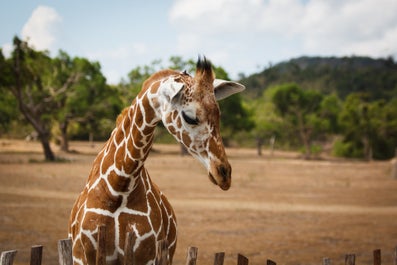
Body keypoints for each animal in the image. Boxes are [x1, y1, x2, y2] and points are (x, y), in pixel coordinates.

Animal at [69, 56, 244, 262]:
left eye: (218, 114)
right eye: (190, 117)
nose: (224, 174)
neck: (117, 187)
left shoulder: (146, 255)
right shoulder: (83, 254)